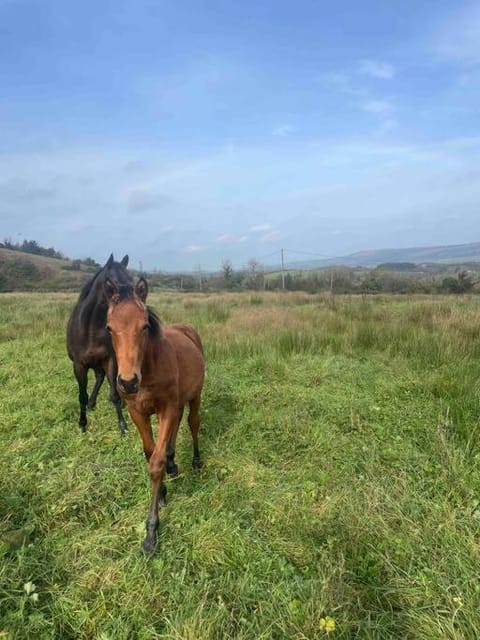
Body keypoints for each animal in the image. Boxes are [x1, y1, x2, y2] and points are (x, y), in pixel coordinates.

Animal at [66, 254, 132, 434]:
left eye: (132, 281)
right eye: (113, 282)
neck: (90, 329)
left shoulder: (109, 360)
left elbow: (115, 395)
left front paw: (122, 426)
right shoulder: (79, 365)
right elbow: (82, 395)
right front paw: (82, 424)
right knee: (99, 377)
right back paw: (91, 404)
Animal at [104, 276, 205, 553]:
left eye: (145, 326)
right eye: (109, 328)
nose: (128, 382)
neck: (148, 369)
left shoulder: (166, 407)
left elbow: (155, 462)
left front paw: (151, 532)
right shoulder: (137, 412)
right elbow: (149, 452)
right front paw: (162, 493)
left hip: (194, 396)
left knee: (192, 423)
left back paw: (196, 461)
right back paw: (173, 463)